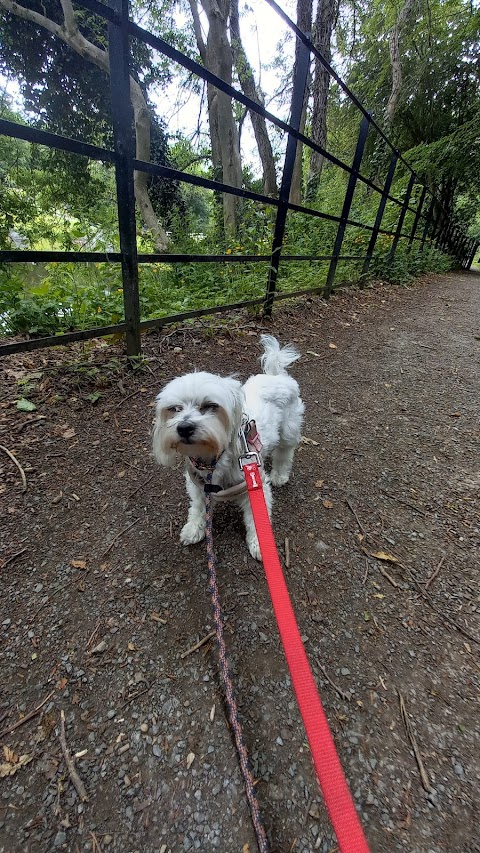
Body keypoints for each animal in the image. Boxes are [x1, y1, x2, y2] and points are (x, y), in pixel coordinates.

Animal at [153, 332, 304, 560]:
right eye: (175, 409)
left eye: (210, 406)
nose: (184, 427)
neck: (212, 459)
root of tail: (276, 375)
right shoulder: (198, 486)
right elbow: (198, 508)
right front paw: (194, 528)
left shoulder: (255, 483)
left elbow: (257, 518)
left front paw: (260, 545)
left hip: (289, 429)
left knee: (285, 453)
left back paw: (280, 475)